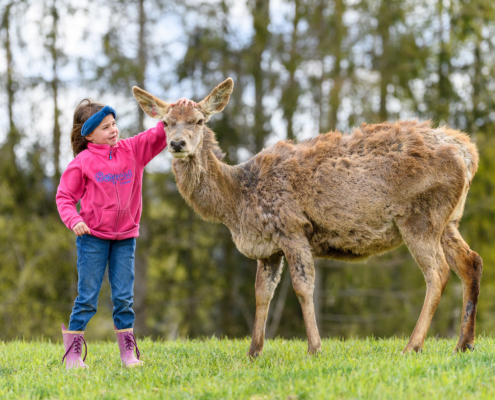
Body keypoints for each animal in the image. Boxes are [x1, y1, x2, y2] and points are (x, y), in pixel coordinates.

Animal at [134, 77, 482, 356]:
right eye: (166, 123)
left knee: (438, 271)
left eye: (199, 120)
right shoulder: (268, 246)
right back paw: (463, 344)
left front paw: (314, 347)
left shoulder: (292, 227)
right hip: (449, 220)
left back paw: (413, 345)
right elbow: (262, 294)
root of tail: (468, 152)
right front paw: (254, 351)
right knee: (471, 262)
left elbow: (303, 287)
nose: (177, 143)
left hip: (420, 216)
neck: (237, 203)